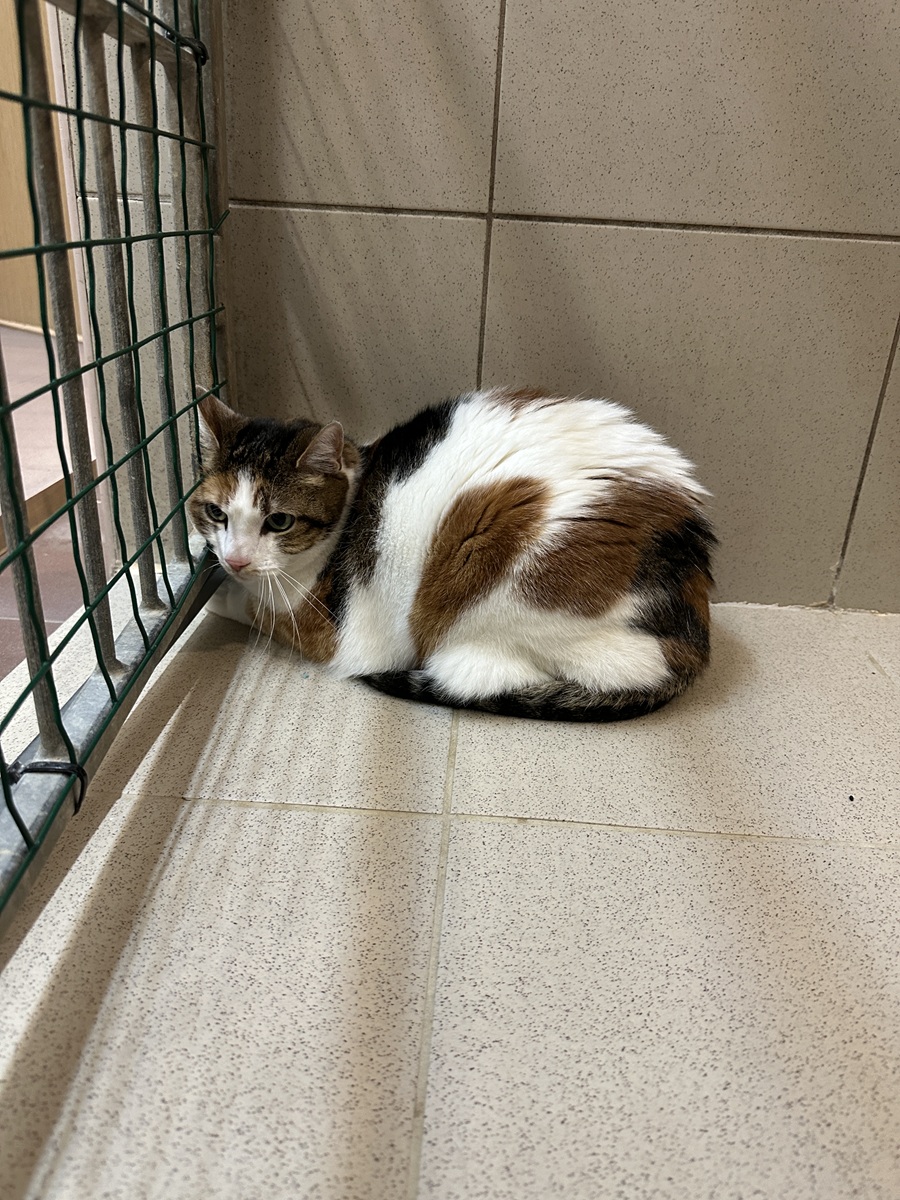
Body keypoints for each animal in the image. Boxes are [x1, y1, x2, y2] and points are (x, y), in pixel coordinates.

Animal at [189, 387, 715, 721]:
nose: (235, 559)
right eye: (215, 513)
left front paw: (217, 600)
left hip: (492, 580)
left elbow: (258, 609)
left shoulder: (324, 627)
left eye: (279, 521)